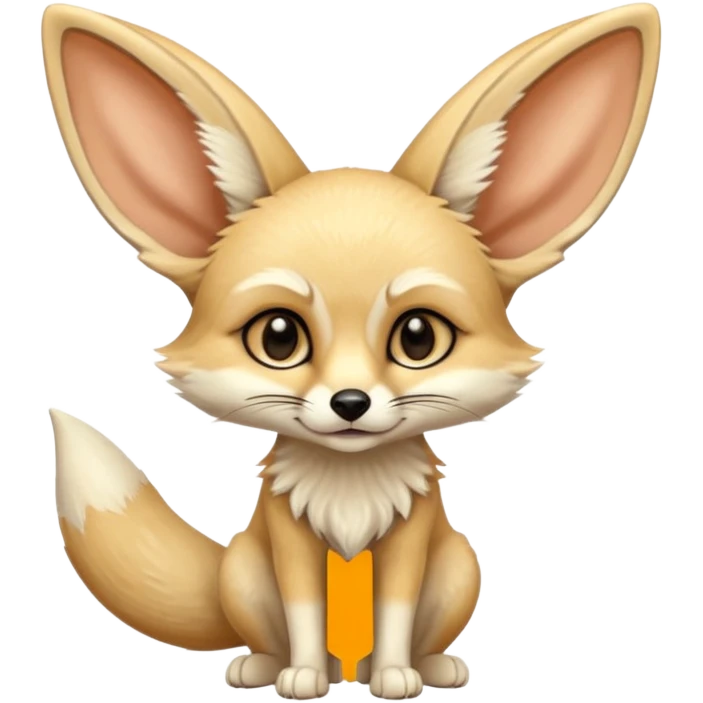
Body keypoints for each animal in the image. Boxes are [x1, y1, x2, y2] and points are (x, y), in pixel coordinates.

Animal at [42, 2, 661, 700]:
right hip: (245, 573)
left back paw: (426, 667)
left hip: (459, 568)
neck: (350, 485)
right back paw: (267, 666)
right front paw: (304, 676)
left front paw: (394, 676)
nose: (350, 402)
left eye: (418, 337)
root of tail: (350, 665)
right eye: (278, 337)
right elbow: (304, 613)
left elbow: (394, 612)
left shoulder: (412, 542)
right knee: (269, 633)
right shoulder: (288, 542)